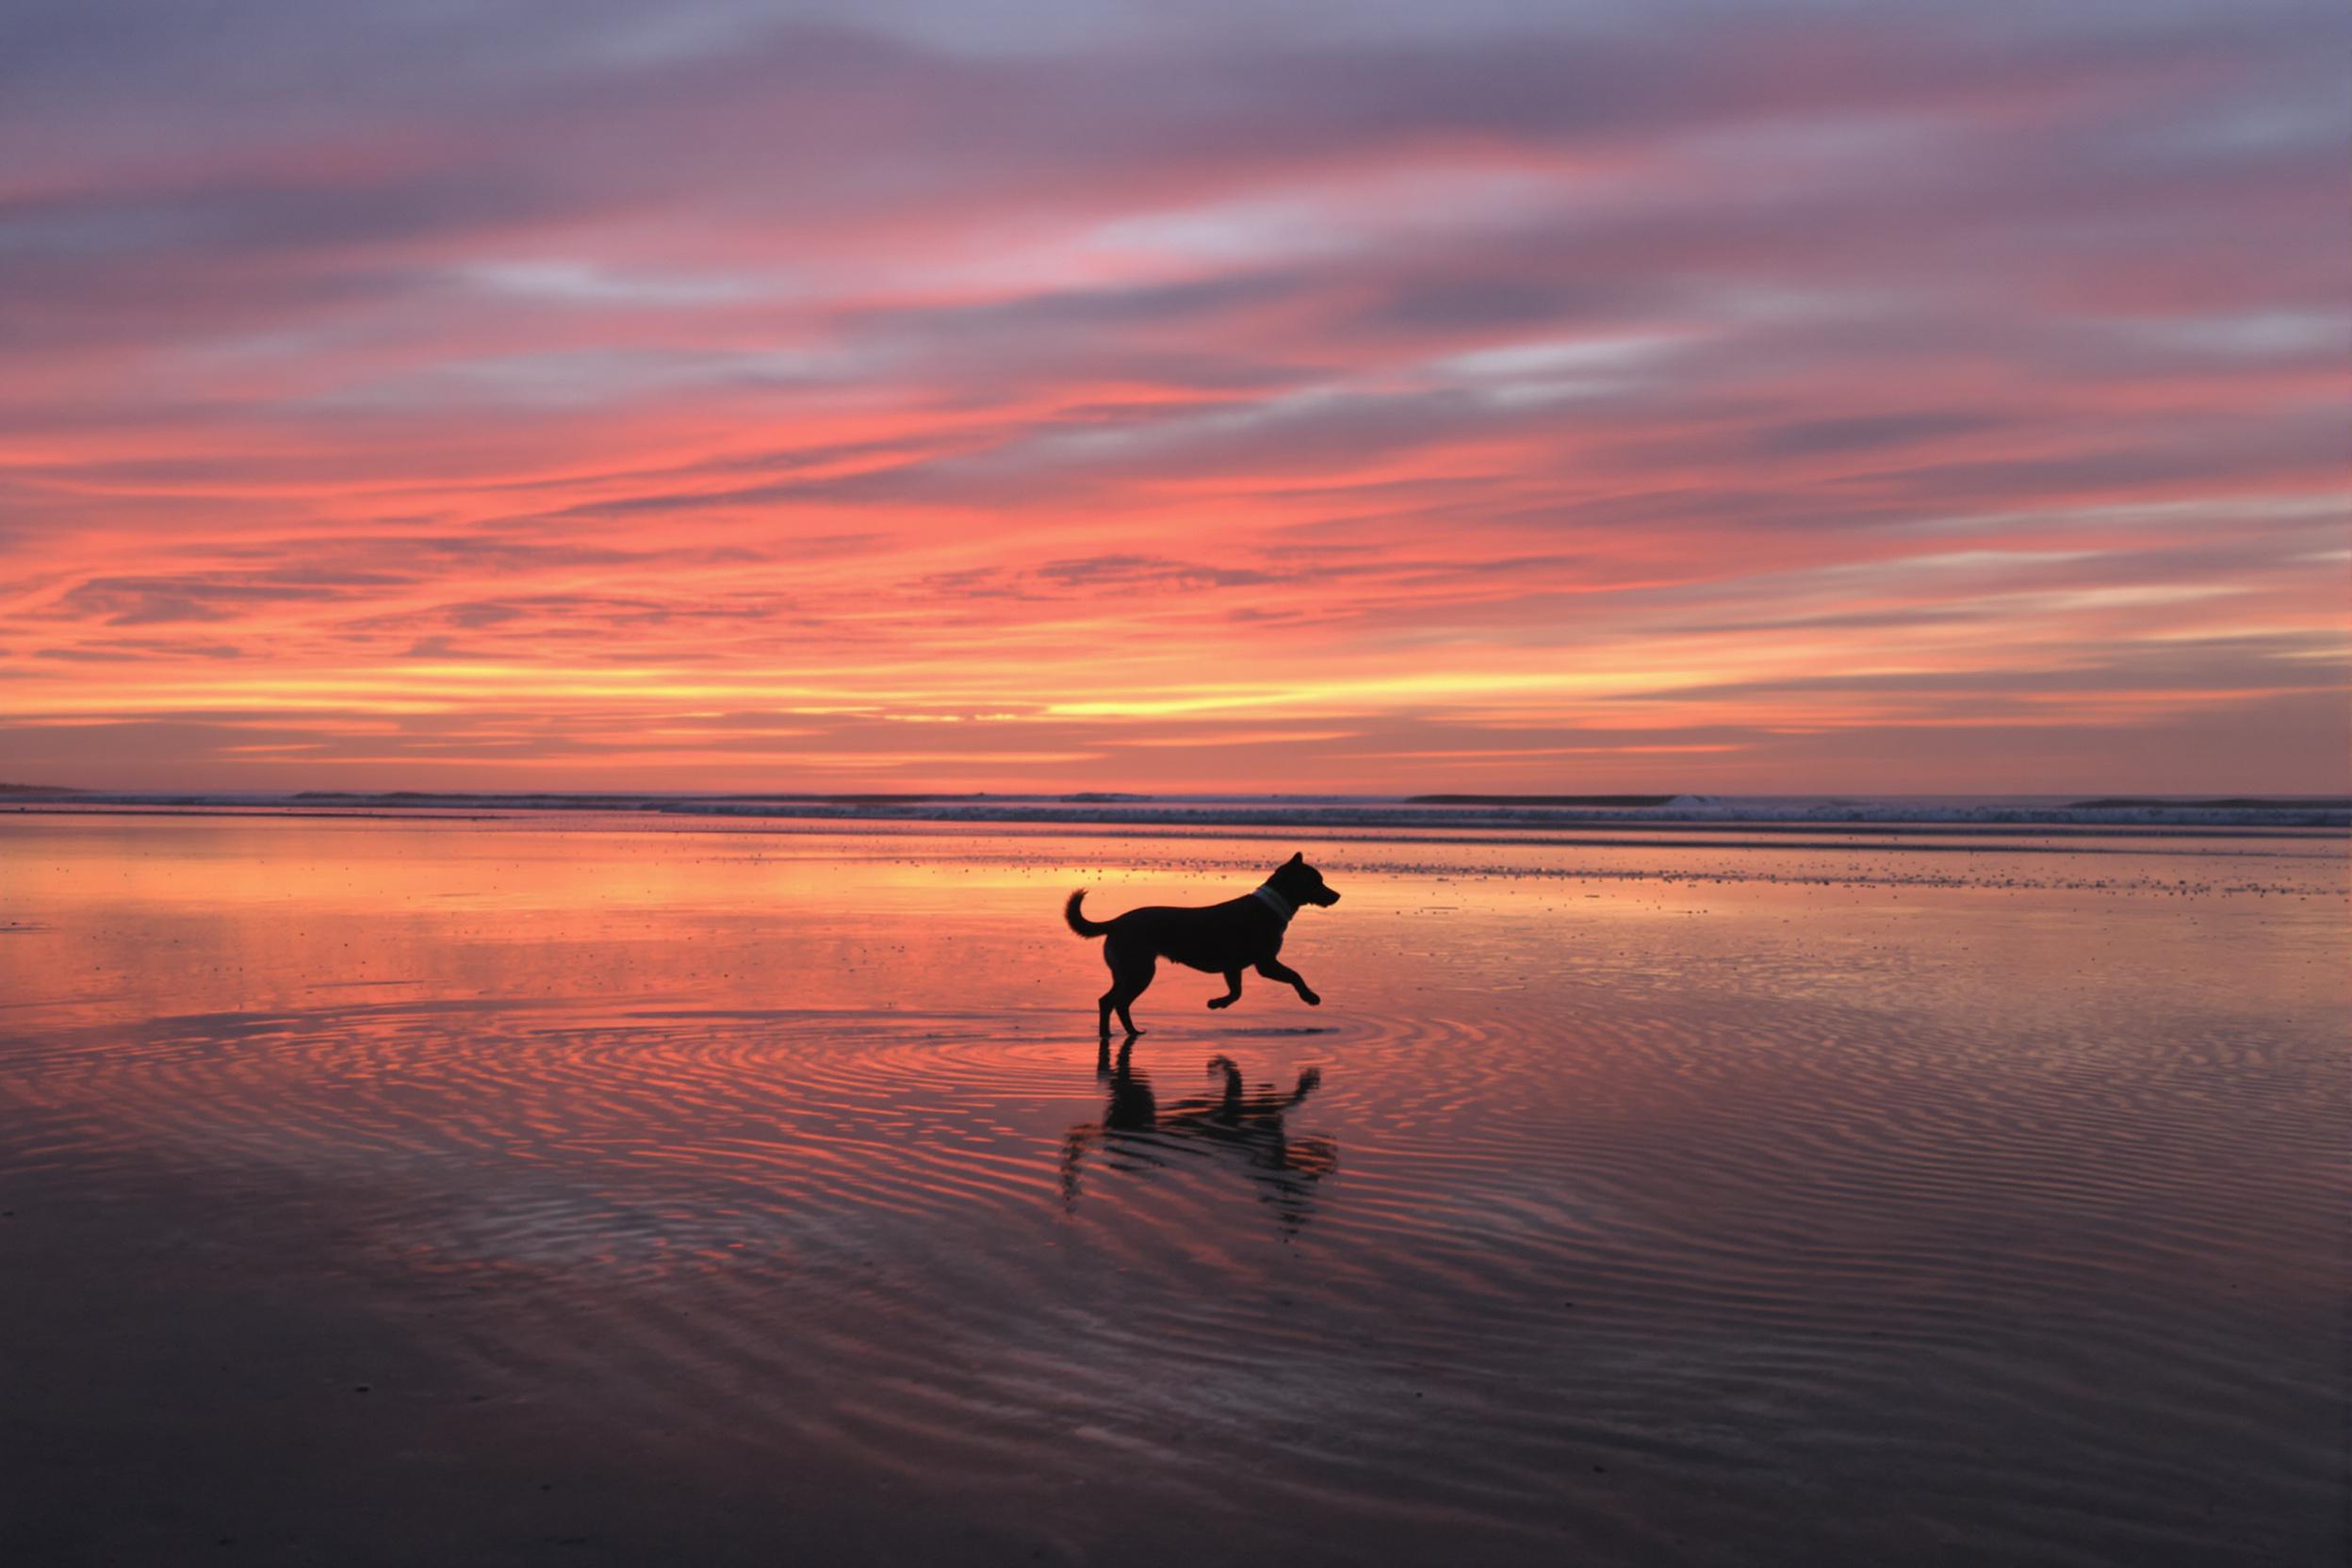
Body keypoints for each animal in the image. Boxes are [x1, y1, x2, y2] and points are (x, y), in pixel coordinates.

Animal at [1068, 851, 1345, 1034]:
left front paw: (1217, 1003)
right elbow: (1295, 975)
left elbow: (1236, 993)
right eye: (1316, 882)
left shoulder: (1233, 968)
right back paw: (1125, 1033)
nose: (1338, 895)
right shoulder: (1265, 963)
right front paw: (1310, 997)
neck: (1272, 904)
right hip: (1139, 971)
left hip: (1126, 972)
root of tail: (1116, 922)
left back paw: (1117, 1032)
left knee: (1107, 1001)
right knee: (1118, 1002)